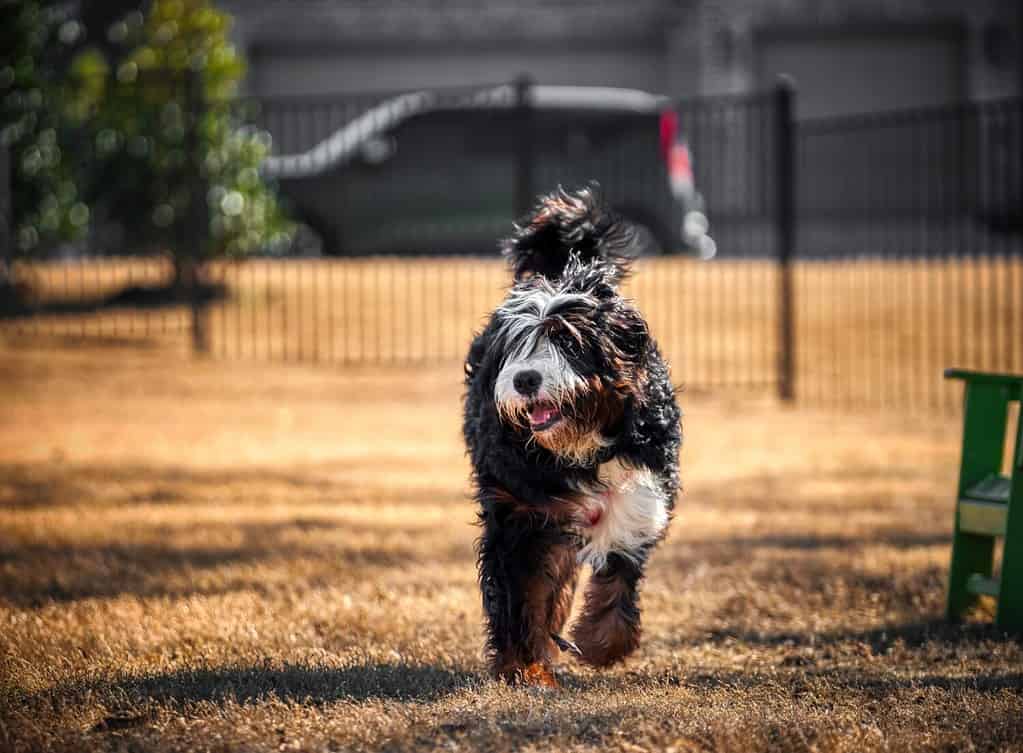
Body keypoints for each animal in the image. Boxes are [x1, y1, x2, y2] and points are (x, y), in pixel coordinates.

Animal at [462, 184, 679, 687]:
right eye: (517, 345)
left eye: (567, 340)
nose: (525, 379)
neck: (579, 446)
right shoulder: (519, 513)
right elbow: (523, 597)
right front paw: (523, 667)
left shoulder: (640, 492)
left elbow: (618, 575)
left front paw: (604, 642)